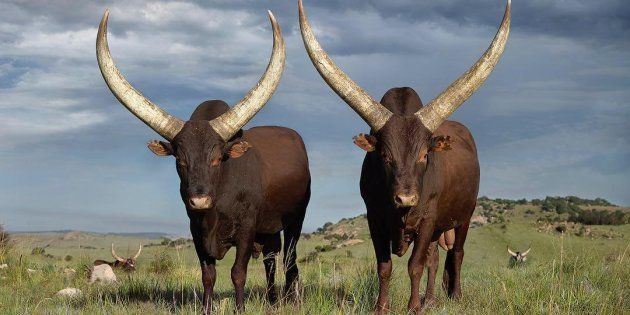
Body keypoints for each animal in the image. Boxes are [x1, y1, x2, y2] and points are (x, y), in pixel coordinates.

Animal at [96, 9, 312, 314]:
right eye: (180, 159)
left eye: (217, 158)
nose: (199, 200)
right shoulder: (196, 232)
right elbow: (208, 275)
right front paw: (208, 308)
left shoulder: (246, 230)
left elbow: (238, 273)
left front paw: (239, 309)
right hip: (269, 229)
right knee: (271, 259)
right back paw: (272, 300)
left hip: (295, 219)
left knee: (289, 260)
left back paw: (290, 300)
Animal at [298, 0, 512, 314]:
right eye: (384, 155)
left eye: (424, 154)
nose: (406, 198)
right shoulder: (374, 218)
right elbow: (385, 266)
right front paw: (382, 307)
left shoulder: (428, 219)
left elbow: (415, 265)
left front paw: (412, 307)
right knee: (435, 258)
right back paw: (431, 300)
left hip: (464, 216)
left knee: (456, 253)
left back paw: (455, 295)